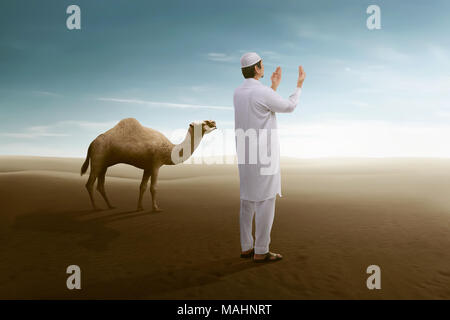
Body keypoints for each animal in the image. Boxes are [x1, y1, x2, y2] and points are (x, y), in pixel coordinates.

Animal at [81, 119, 217, 211]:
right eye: (203, 123)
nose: (214, 122)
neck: (169, 149)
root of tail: (91, 143)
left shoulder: (147, 167)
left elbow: (142, 187)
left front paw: (139, 207)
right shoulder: (156, 164)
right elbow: (153, 187)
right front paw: (156, 208)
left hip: (104, 164)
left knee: (100, 185)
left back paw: (110, 206)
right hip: (98, 159)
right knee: (89, 184)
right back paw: (96, 207)